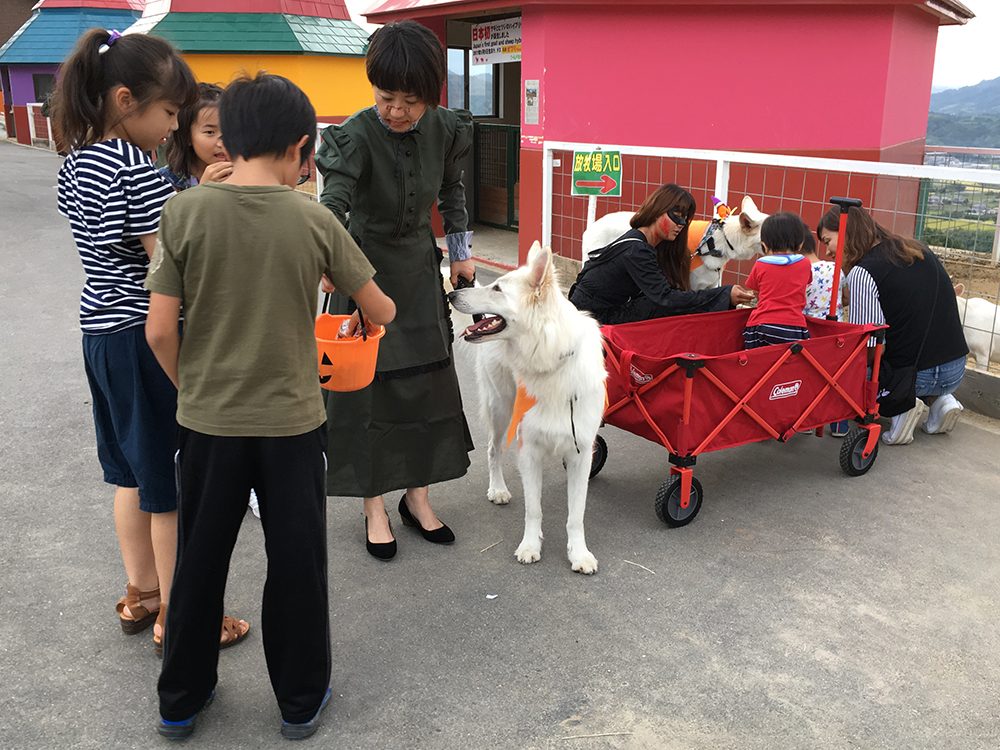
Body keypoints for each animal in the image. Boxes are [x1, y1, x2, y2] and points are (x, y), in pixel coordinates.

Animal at [450, 244, 604, 572]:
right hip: (501, 409)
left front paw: (579, 553)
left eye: (497, 289)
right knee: (493, 450)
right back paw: (498, 489)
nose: (452, 295)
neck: (551, 362)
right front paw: (530, 546)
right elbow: (534, 510)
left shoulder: (581, 454)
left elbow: (576, 515)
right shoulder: (529, 450)